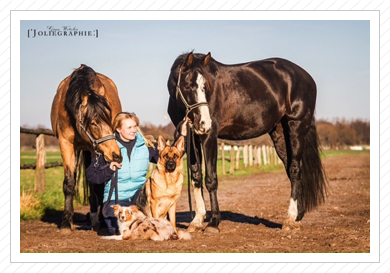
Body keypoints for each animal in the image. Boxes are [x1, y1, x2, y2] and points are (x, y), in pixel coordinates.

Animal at [50, 64, 122, 230]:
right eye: (94, 123)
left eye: (110, 119)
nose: (116, 154)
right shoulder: (66, 144)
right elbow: (69, 183)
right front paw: (66, 222)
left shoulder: (96, 150)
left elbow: (97, 185)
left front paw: (99, 220)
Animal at [166, 51, 328, 232]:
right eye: (187, 85)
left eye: (205, 86)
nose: (204, 123)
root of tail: (306, 77)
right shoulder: (191, 136)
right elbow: (196, 176)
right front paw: (197, 219)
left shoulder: (209, 136)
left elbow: (211, 179)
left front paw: (214, 222)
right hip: (280, 133)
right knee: (292, 170)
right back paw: (297, 217)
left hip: (296, 127)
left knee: (295, 170)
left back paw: (290, 218)